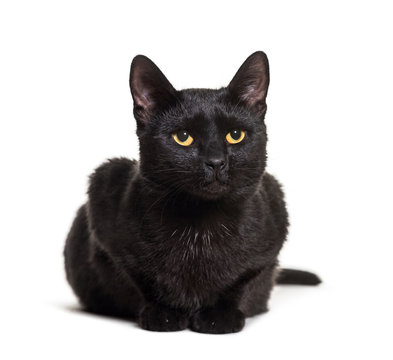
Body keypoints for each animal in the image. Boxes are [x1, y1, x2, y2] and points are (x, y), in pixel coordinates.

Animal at [63, 51, 318, 334]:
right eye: (183, 137)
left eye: (235, 135)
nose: (216, 162)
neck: (201, 225)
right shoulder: (104, 202)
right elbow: (138, 281)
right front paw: (163, 313)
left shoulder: (273, 224)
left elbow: (244, 282)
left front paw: (220, 315)